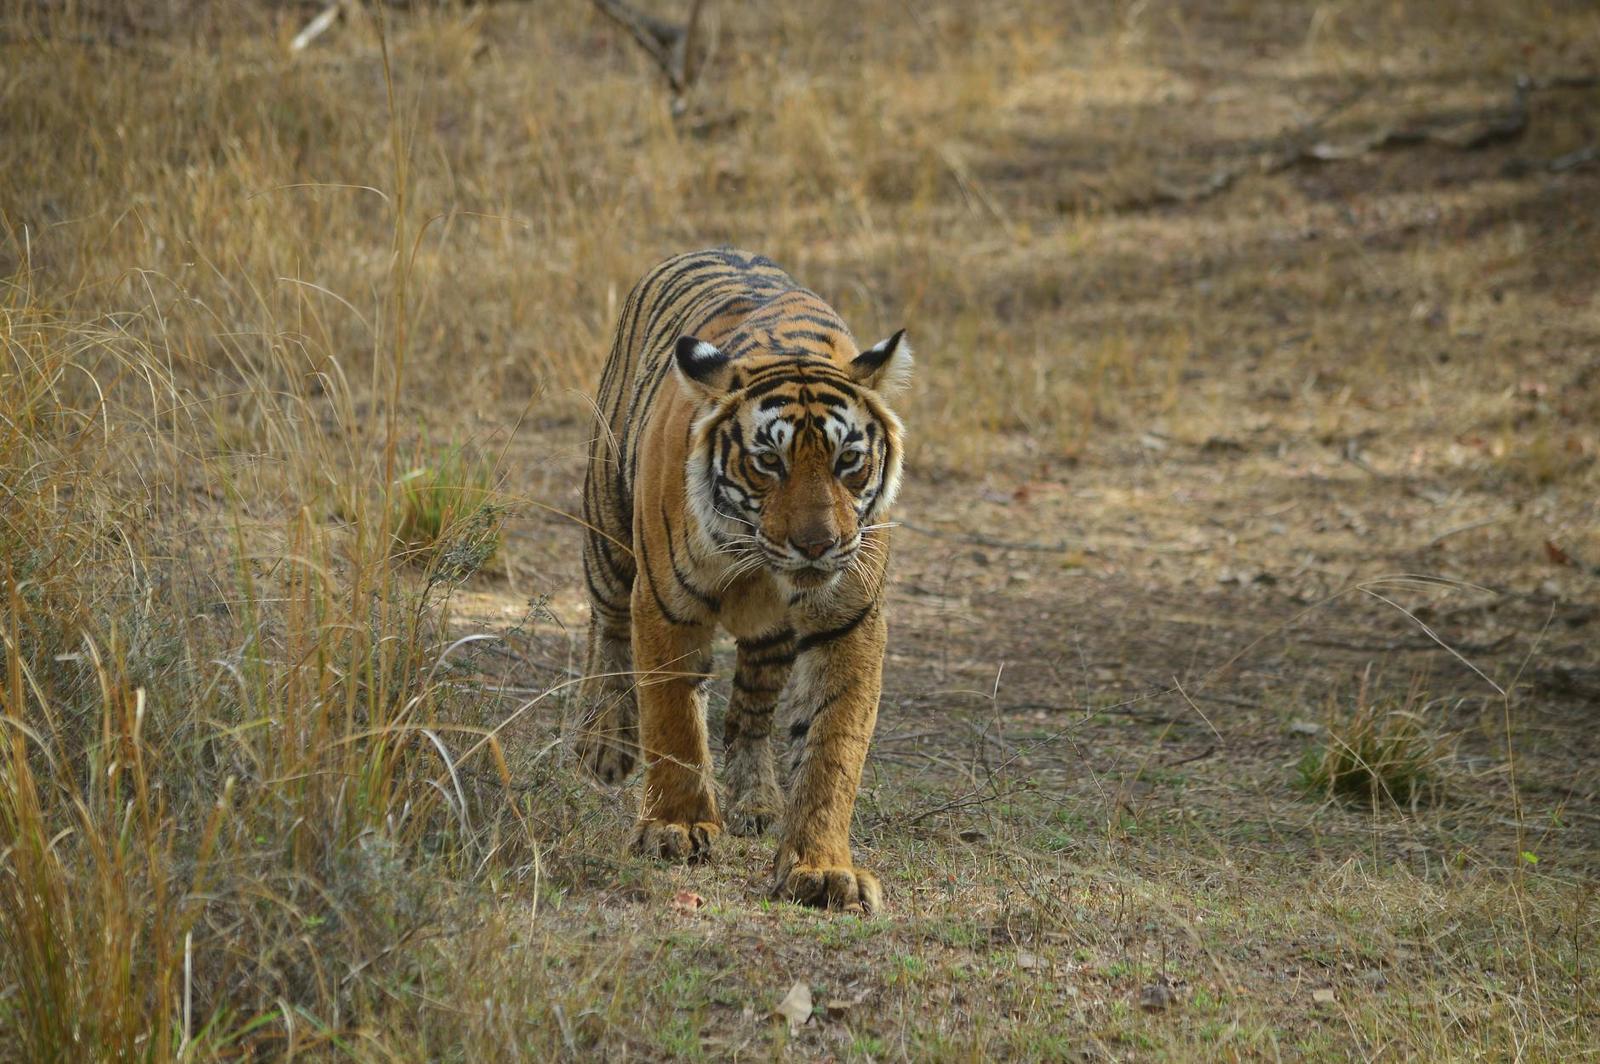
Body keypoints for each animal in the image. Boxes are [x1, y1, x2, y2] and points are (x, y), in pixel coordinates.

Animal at [574, 247, 911, 914]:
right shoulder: (666, 604)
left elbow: (833, 747)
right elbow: (673, 720)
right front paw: (676, 828)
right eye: (768, 463)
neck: (760, 562)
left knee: (751, 713)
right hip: (609, 536)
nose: (817, 545)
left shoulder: (849, 621)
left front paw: (821, 868)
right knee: (608, 630)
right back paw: (607, 743)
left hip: (772, 639)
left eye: (848, 461)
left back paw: (757, 800)